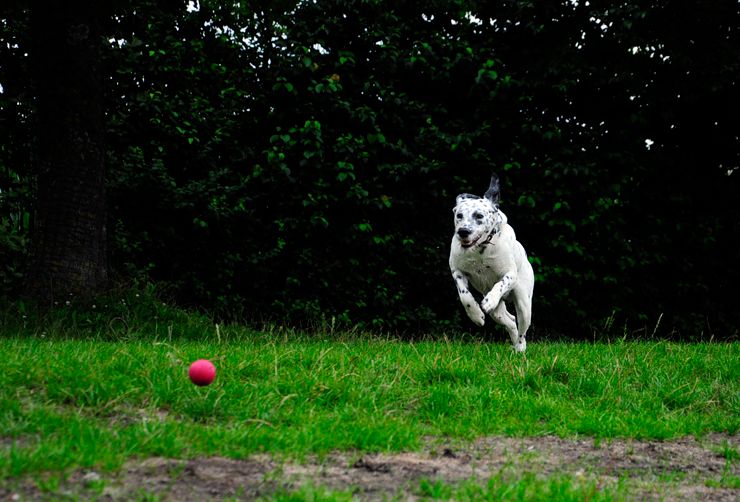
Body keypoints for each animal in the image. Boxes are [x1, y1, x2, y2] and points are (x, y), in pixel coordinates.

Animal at [449, 173, 534, 352]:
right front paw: (476, 315)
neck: (480, 250)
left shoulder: (510, 274)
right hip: (498, 313)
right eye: (459, 215)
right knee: (511, 321)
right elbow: (464, 296)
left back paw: (520, 348)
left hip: (524, 304)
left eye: (479, 216)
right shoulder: (457, 272)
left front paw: (489, 301)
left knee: (522, 330)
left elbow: (500, 283)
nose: (463, 231)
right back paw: (514, 345)